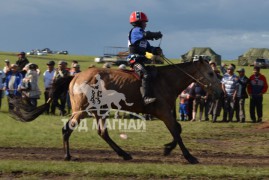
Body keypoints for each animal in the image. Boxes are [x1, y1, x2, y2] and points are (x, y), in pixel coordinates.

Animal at [9, 58, 221, 164]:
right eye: (211, 73)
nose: (221, 91)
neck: (166, 80)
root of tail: (75, 76)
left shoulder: (166, 112)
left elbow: (177, 129)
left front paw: (168, 148)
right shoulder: (163, 112)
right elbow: (176, 131)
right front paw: (189, 156)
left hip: (98, 111)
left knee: (102, 132)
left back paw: (124, 154)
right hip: (82, 110)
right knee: (67, 129)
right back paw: (68, 156)